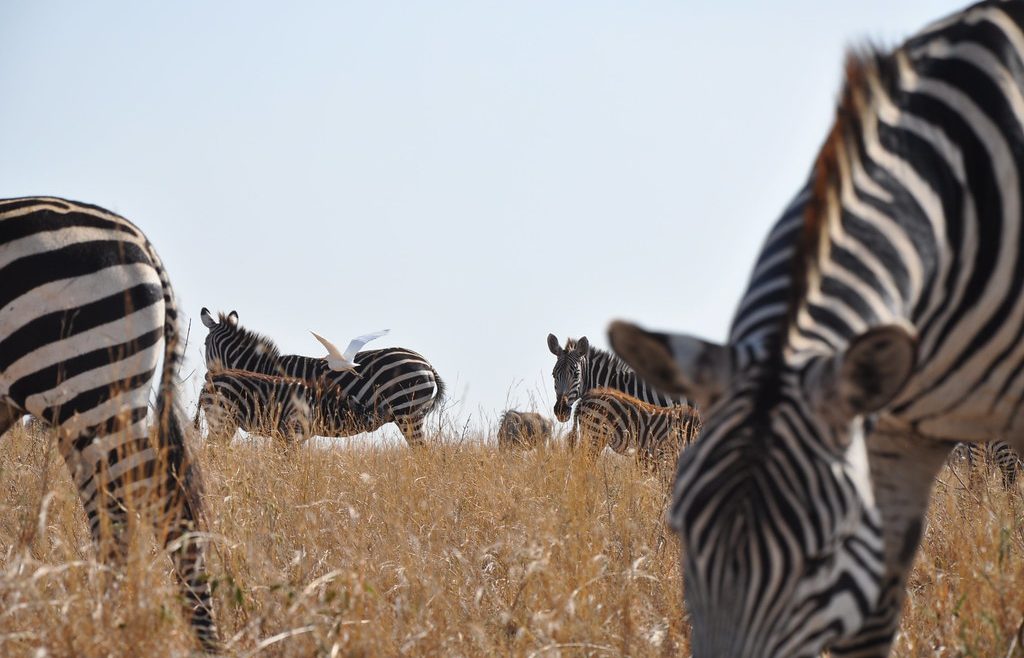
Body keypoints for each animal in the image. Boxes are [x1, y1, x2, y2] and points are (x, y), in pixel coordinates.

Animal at [0, 197, 219, 652]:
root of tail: (143, 244)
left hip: (88, 385)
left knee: (162, 510)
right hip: (83, 413)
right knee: (113, 518)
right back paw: (105, 624)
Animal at [200, 369, 365, 444]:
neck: (318, 406)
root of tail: (210, 380)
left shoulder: (294, 437)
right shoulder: (290, 431)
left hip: (227, 423)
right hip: (221, 418)